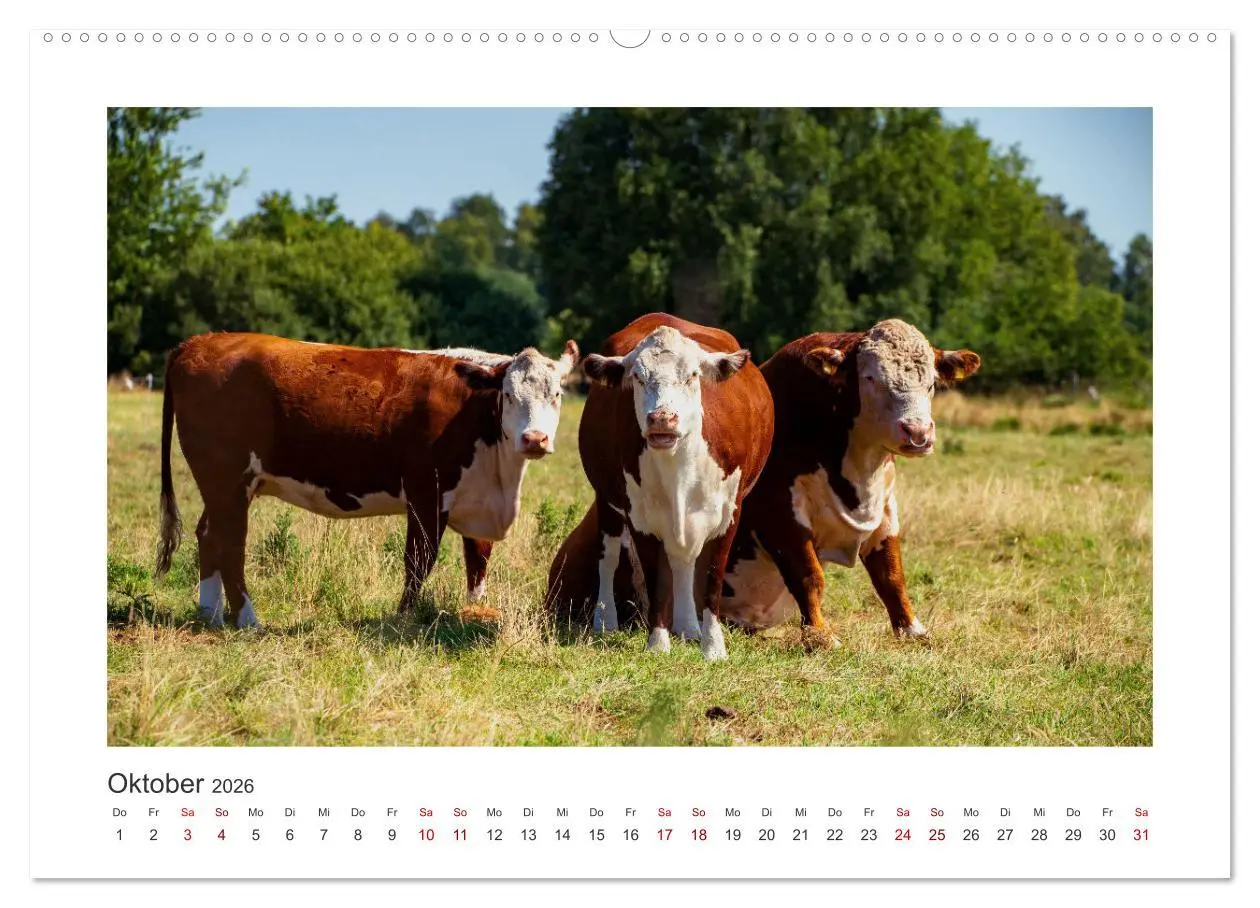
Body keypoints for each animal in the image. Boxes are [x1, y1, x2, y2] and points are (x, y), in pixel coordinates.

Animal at [153, 333, 579, 628]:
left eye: (557, 394)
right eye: (508, 395)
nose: (535, 439)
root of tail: (201, 341)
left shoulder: (478, 498)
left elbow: (478, 560)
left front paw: (474, 612)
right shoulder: (426, 493)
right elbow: (419, 560)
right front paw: (405, 618)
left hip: (226, 485)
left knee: (209, 534)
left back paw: (209, 612)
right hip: (227, 477)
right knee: (231, 543)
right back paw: (247, 619)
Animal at [575, 313, 774, 660]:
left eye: (692, 375)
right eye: (638, 377)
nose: (662, 418)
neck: (677, 466)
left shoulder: (729, 513)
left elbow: (712, 576)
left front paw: (713, 645)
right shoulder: (639, 516)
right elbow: (655, 576)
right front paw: (658, 643)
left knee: (684, 563)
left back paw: (689, 627)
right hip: (607, 500)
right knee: (609, 556)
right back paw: (605, 622)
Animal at [721, 319, 980, 647]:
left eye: (931, 383)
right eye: (870, 378)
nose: (918, 432)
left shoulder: (885, 510)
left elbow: (891, 576)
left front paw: (912, 629)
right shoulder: (778, 511)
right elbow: (808, 575)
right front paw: (819, 634)